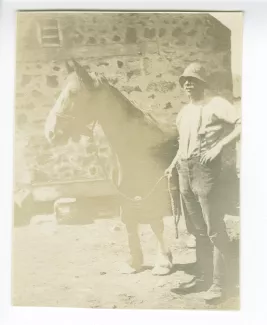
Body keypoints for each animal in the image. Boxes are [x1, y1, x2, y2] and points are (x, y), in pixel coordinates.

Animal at [45, 59, 180, 274]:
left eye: (73, 93)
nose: (50, 132)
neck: (138, 145)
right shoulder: (125, 194)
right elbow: (129, 222)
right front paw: (134, 262)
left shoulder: (154, 193)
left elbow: (155, 222)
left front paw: (163, 262)